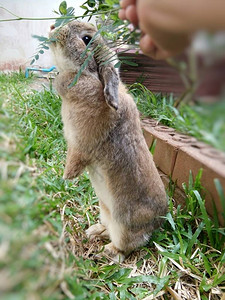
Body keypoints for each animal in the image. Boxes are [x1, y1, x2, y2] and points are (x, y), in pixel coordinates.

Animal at [49, 19, 168, 262]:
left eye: (86, 39)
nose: (53, 29)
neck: (89, 77)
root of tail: (156, 224)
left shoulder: (81, 144)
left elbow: (75, 159)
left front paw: (66, 176)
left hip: (124, 225)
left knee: (127, 246)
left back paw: (108, 252)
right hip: (105, 210)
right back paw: (94, 231)